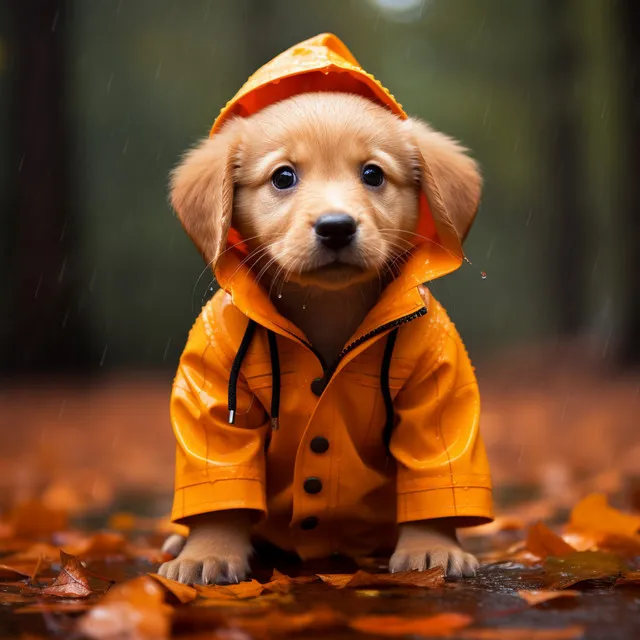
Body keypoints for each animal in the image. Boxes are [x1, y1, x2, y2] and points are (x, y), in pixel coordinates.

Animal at [158, 90, 492, 584]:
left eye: (372, 174)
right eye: (283, 177)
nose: (336, 226)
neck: (327, 309)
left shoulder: (438, 388)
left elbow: (434, 473)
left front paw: (432, 547)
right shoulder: (213, 387)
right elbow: (220, 488)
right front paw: (207, 552)